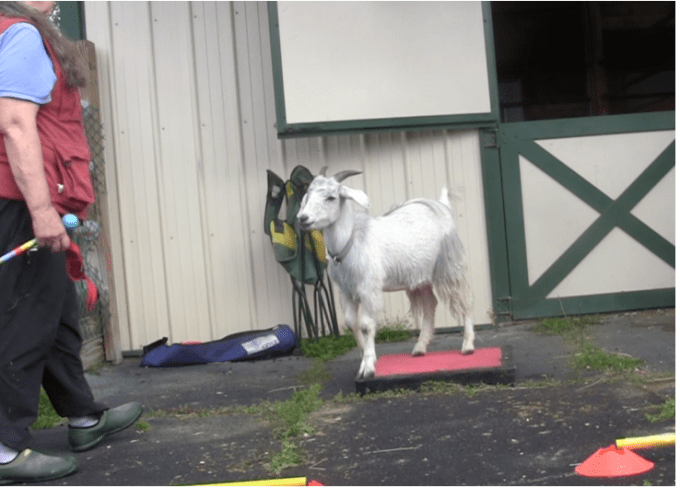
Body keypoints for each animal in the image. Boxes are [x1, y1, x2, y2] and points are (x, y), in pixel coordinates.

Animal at [297, 168, 474, 378]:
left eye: (331, 197)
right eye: (308, 195)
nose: (303, 219)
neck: (349, 243)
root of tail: (442, 206)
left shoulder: (368, 289)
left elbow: (365, 325)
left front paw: (367, 367)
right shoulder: (345, 291)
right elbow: (350, 322)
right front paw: (365, 355)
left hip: (449, 265)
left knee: (463, 299)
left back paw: (468, 345)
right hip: (420, 278)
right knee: (430, 304)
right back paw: (420, 347)